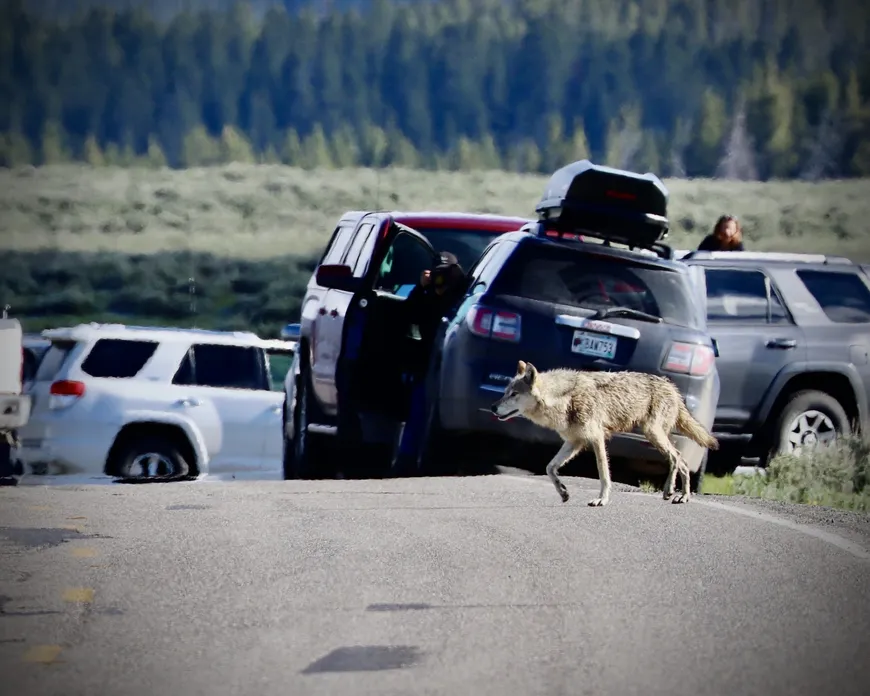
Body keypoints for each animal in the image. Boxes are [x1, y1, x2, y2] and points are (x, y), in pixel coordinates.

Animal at [491, 360, 719, 507]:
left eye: (514, 394)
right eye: (505, 392)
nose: (493, 407)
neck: (564, 399)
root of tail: (672, 388)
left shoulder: (597, 438)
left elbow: (604, 474)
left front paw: (601, 499)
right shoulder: (574, 442)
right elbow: (549, 468)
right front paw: (563, 492)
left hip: (653, 434)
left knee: (676, 457)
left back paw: (672, 491)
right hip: (654, 435)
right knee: (682, 461)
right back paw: (680, 496)